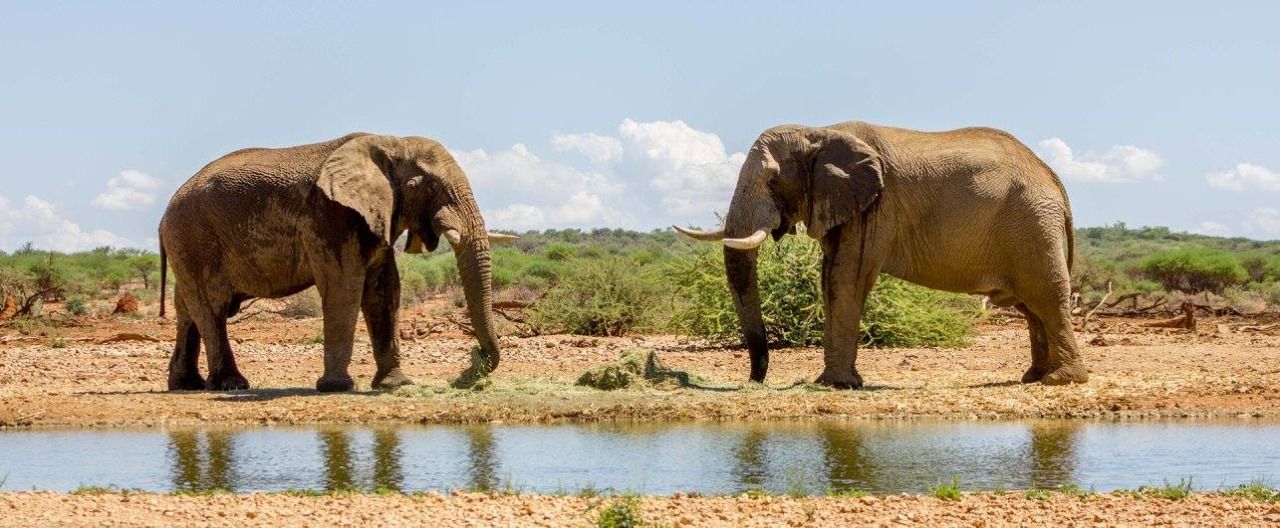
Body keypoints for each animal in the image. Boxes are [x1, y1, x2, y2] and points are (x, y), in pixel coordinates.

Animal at [158, 133, 512, 392]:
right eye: (428, 186)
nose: (473, 363)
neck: (389, 143)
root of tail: (164, 214)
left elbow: (384, 291)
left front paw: (395, 385)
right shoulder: (331, 215)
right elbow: (344, 286)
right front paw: (337, 387)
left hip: (185, 246)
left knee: (187, 311)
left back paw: (186, 386)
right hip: (193, 237)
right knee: (212, 309)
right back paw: (231, 385)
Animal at [676, 121, 1087, 388]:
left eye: (773, 180)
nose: (754, 382)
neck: (818, 131)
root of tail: (1054, 179)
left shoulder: (873, 208)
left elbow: (845, 278)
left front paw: (835, 385)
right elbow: (830, 278)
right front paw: (840, 382)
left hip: (1031, 223)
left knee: (1046, 297)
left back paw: (1061, 380)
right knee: (1031, 306)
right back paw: (1033, 377)